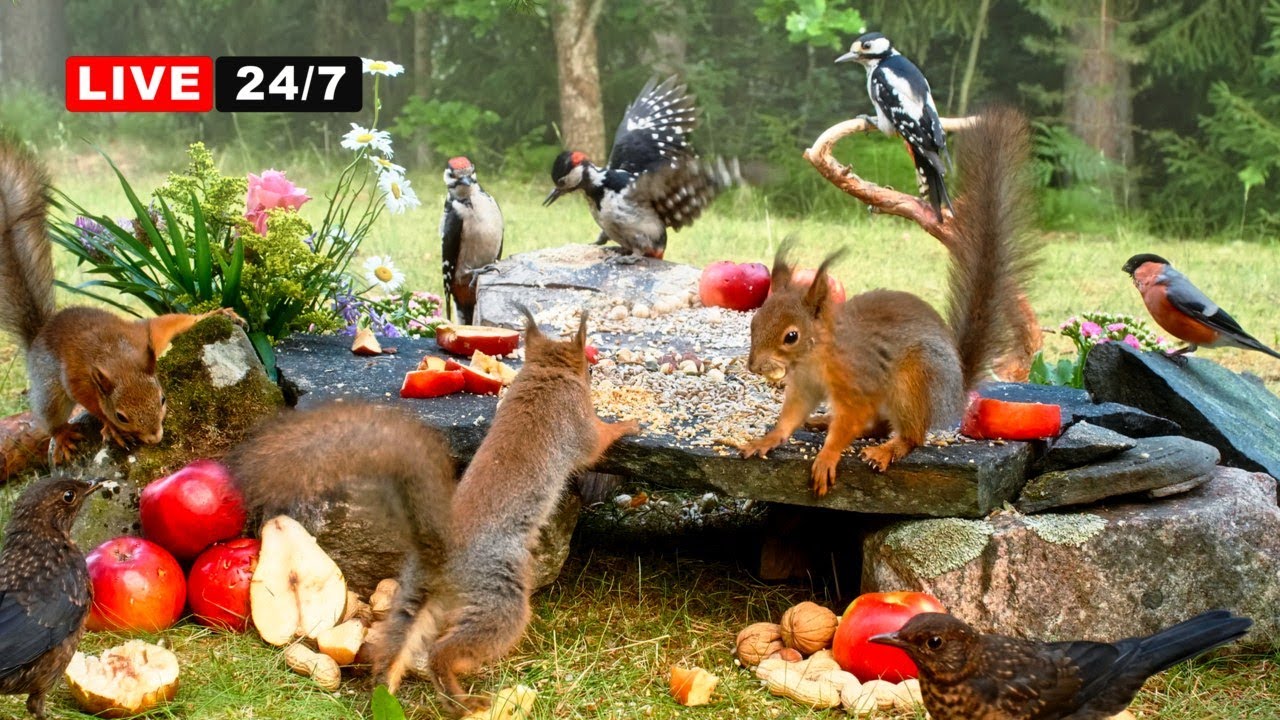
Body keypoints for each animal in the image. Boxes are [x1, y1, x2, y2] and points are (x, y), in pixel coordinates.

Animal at [0, 139, 240, 463]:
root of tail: (40, 333)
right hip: (47, 387)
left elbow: (170, 322)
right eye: (121, 415)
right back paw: (62, 435)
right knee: (49, 415)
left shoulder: (144, 335)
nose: (154, 438)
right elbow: (91, 404)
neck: (117, 355)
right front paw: (111, 428)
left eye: (163, 398)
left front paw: (218, 312)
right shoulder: (78, 378)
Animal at [226, 310, 639, 716]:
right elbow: (597, 442)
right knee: (444, 650)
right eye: (588, 367)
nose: (594, 372)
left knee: (397, 650)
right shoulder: (577, 422)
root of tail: (436, 550)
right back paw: (461, 698)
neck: (544, 374)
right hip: (497, 601)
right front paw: (628, 423)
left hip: (413, 594)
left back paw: (389, 691)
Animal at [742, 106, 1035, 495]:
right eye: (754, 322)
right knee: (878, 425)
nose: (753, 366)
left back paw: (886, 450)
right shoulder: (803, 388)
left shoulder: (858, 386)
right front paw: (768, 439)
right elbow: (790, 418)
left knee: (910, 434)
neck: (816, 358)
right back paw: (824, 421)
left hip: (913, 384)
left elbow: (849, 424)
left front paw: (827, 457)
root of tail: (956, 389)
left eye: (791, 336)